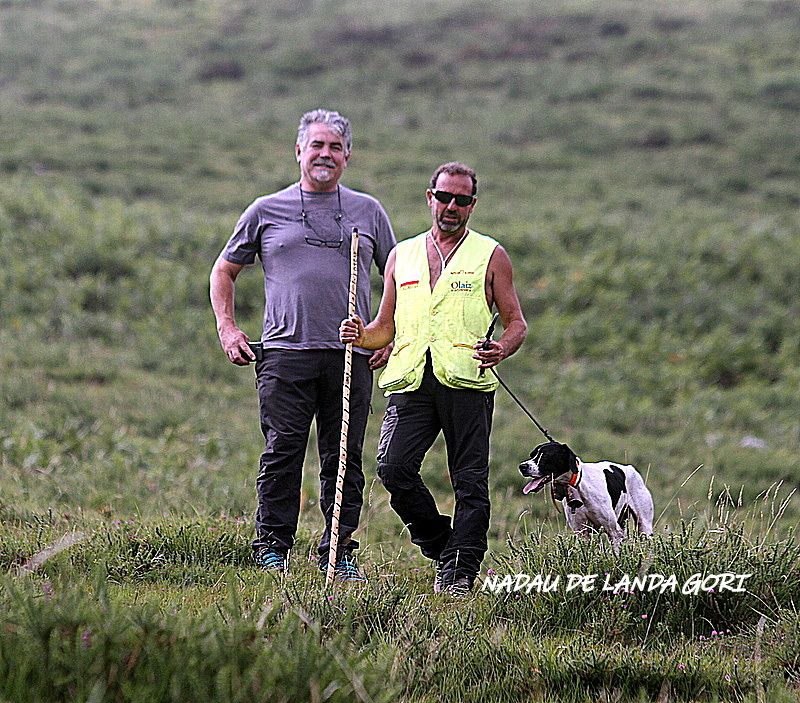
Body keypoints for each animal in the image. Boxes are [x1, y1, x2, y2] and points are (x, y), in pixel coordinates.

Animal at [520, 442, 656, 552]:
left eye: (546, 456)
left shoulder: (614, 532)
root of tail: (631, 469)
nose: (522, 466)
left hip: (644, 527)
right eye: (532, 455)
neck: (578, 486)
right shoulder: (582, 533)